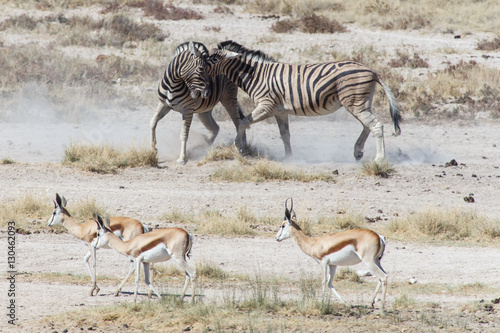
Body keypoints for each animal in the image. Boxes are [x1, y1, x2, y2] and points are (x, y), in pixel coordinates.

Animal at [203, 40, 402, 163]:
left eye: (212, 59)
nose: (198, 64)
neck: (256, 75)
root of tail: (372, 71)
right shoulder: (280, 111)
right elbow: (285, 134)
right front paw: (289, 157)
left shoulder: (267, 106)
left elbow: (244, 122)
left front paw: (239, 147)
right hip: (360, 103)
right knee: (367, 125)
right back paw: (358, 151)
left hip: (355, 102)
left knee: (376, 125)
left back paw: (379, 159)